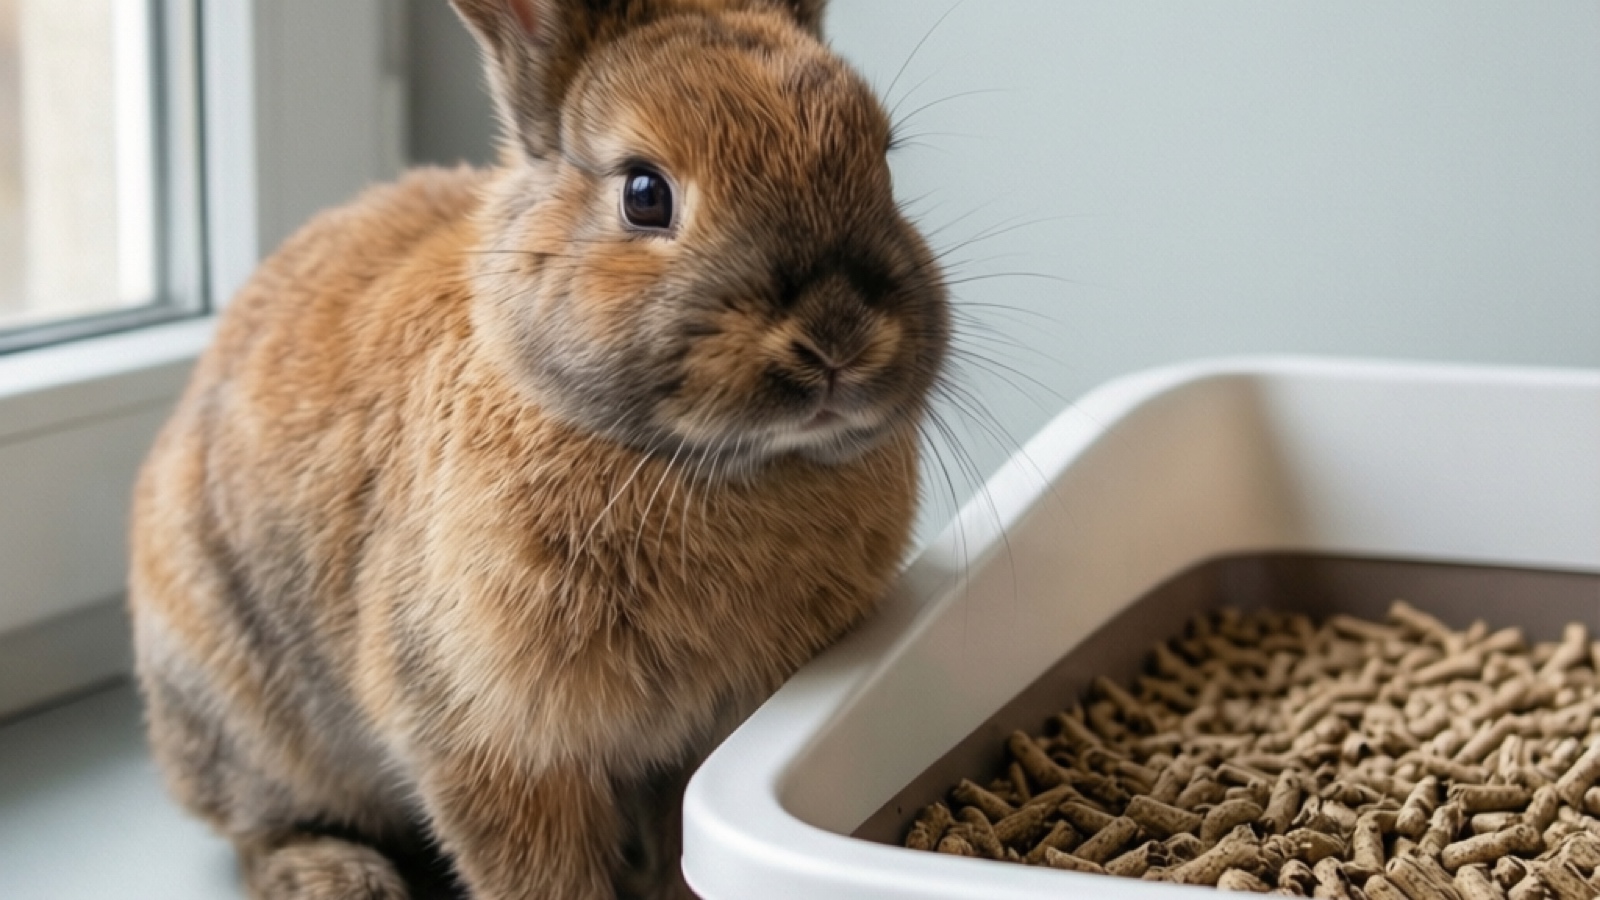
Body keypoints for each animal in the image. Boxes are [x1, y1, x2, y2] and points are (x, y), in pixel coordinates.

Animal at [127, 0, 949, 898]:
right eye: (645, 194)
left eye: (882, 159)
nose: (838, 336)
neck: (706, 464)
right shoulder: (490, 736)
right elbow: (539, 868)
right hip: (242, 709)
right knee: (260, 825)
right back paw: (339, 876)